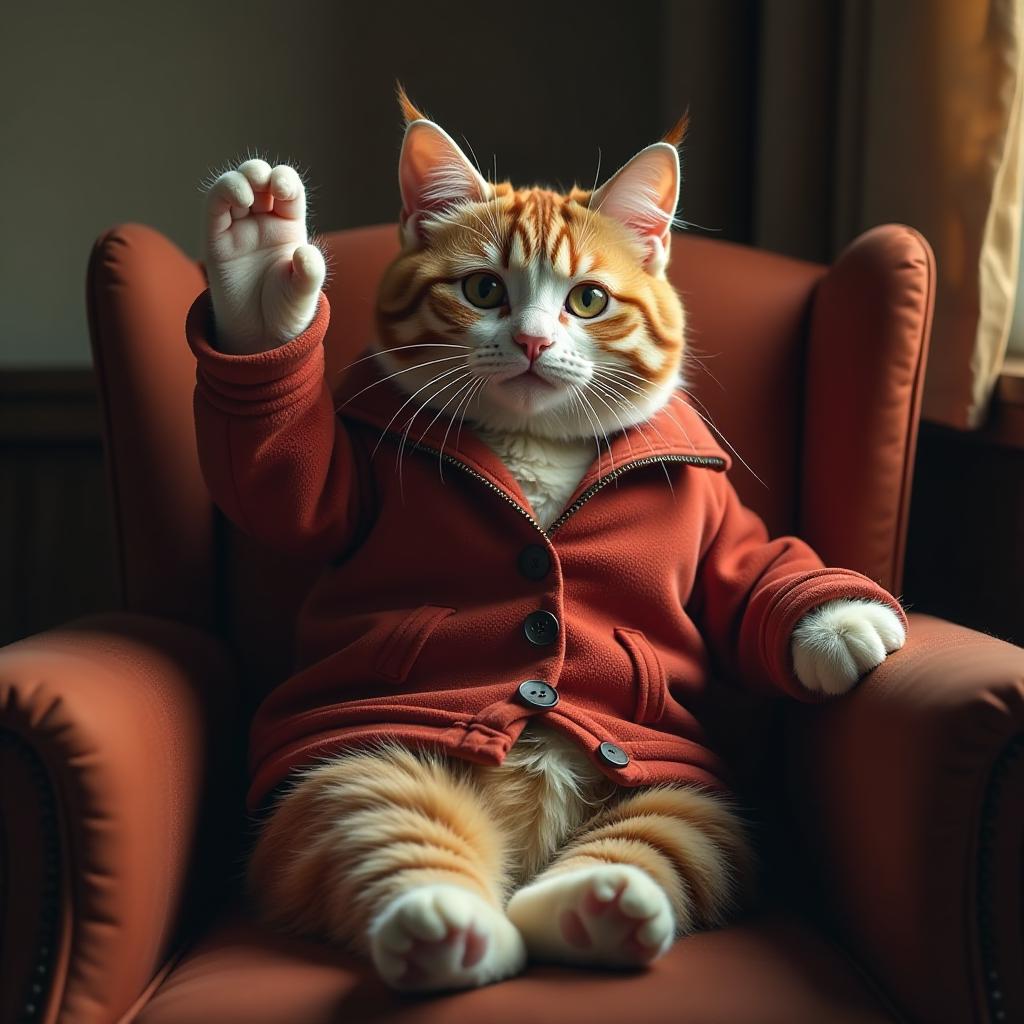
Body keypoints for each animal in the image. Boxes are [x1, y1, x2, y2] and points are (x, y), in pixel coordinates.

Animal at [190, 90, 905, 991]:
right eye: (483, 289)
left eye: (588, 300)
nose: (532, 341)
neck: (536, 447)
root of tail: (523, 858)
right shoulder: (349, 487)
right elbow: (285, 486)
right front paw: (255, 269)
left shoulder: (715, 520)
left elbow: (753, 570)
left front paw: (842, 621)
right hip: (362, 765)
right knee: (393, 831)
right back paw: (450, 929)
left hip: (678, 794)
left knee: (657, 842)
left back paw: (596, 907)